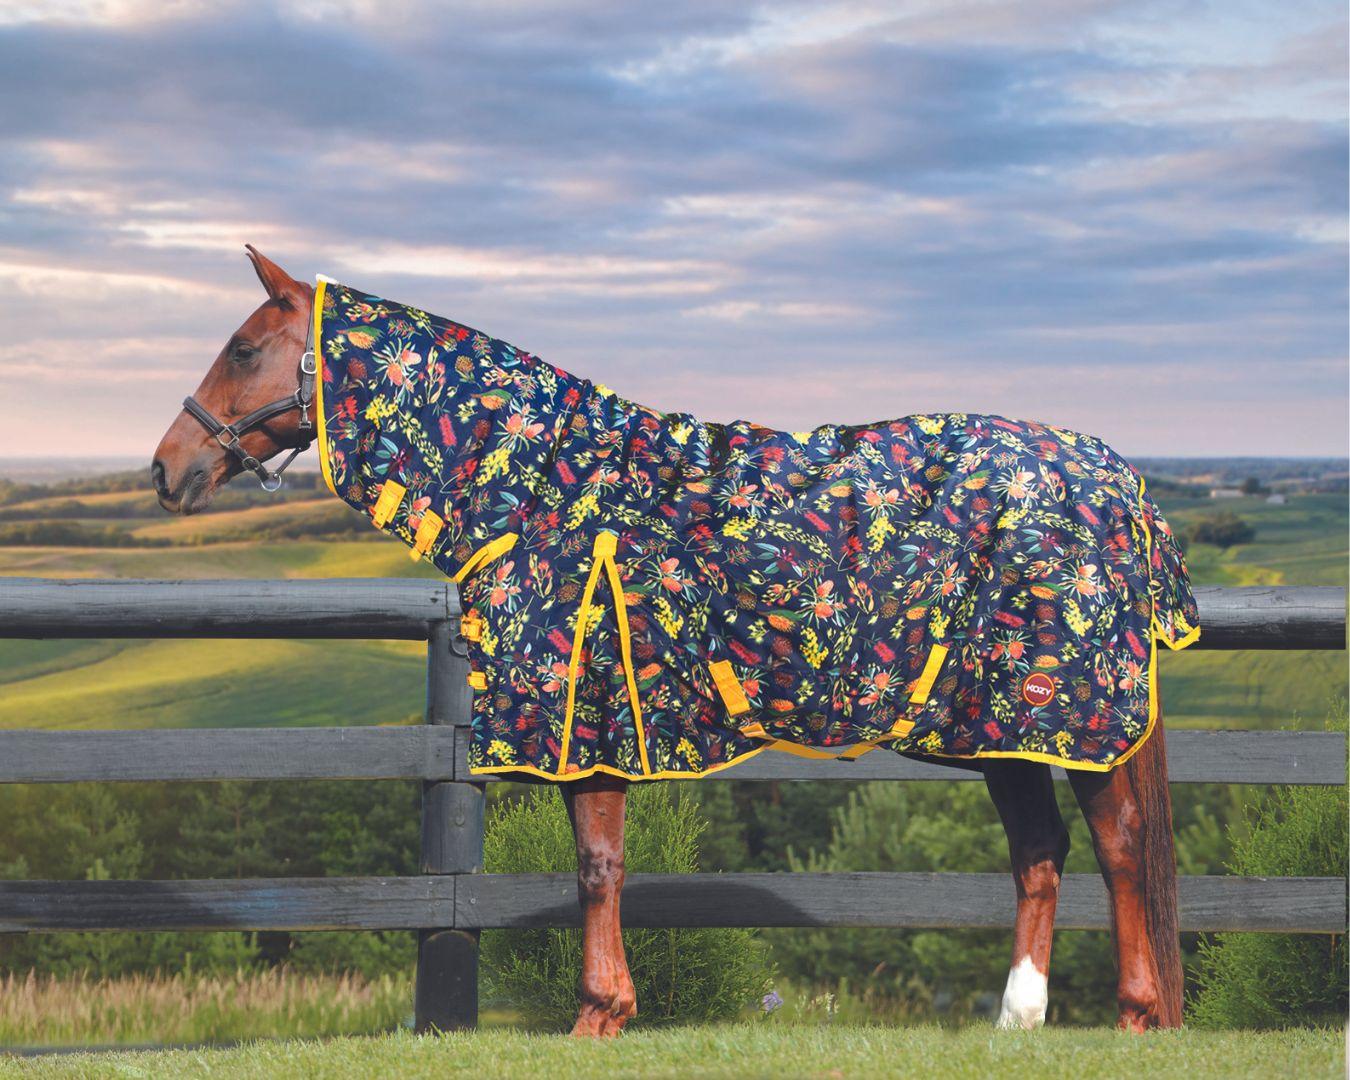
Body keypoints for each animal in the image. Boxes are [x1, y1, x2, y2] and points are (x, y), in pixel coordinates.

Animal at [152, 246, 1186, 1036]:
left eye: (243, 347)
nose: (166, 469)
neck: (546, 487)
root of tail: (1113, 472)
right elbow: (601, 868)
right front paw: (607, 1011)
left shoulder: (592, 719)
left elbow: (597, 868)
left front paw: (598, 1016)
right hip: (998, 724)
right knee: (1042, 852)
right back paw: (1017, 1022)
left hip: (1063, 715)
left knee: (1119, 847)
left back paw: (1138, 1014)